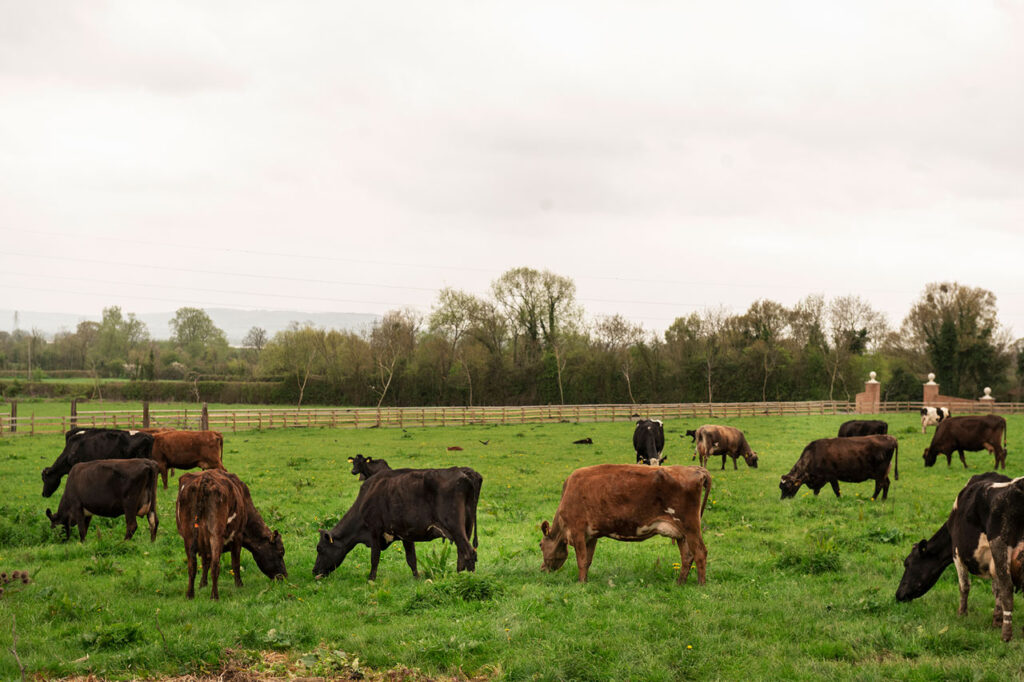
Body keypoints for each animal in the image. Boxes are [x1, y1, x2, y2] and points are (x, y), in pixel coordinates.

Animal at [313, 466, 481, 577]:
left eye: (319, 548)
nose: (314, 571)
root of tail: (464, 471)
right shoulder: (406, 534)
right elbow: (411, 559)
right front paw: (417, 578)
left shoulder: (374, 530)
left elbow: (374, 558)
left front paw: (371, 580)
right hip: (466, 527)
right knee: (462, 554)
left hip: (455, 527)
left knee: (469, 552)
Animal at [536, 462, 712, 585]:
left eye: (540, 544)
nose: (542, 569)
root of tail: (695, 469)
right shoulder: (591, 535)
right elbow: (587, 561)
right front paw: (585, 582)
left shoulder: (577, 530)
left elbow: (581, 560)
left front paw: (579, 584)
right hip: (681, 533)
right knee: (687, 556)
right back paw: (680, 583)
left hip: (690, 526)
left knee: (700, 553)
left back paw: (701, 585)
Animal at [892, 473, 1024, 638]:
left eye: (907, 563)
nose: (898, 595)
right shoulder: (992, 564)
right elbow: (996, 589)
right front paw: (996, 621)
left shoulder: (957, 553)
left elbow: (964, 585)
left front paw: (962, 614)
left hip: (999, 545)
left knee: (1007, 588)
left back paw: (1006, 635)